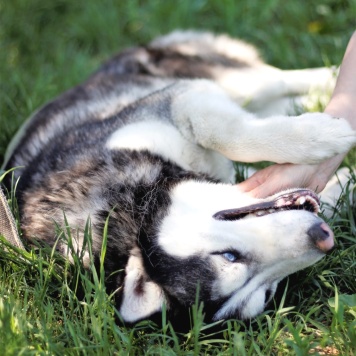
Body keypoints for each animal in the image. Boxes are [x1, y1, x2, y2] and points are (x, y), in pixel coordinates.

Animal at [2, 32, 356, 324]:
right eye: (266, 292)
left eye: (228, 255)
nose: (322, 236)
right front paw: (343, 181)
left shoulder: (180, 98)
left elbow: (226, 133)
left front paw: (322, 136)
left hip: (224, 79)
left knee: (281, 81)